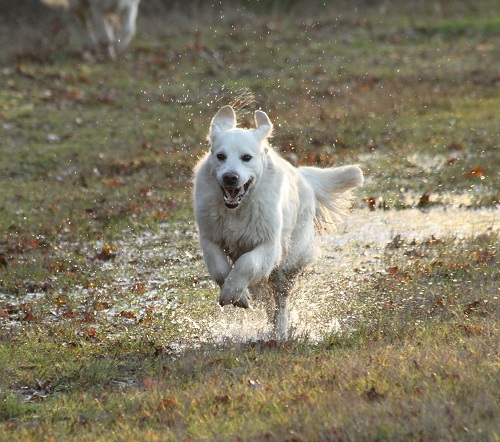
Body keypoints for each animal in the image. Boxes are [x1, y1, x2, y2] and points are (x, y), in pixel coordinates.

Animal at [194, 106, 364, 338]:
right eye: (220, 156)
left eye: (246, 157)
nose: (230, 177)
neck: (238, 209)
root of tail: (303, 177)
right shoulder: (210, 238)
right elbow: (219, 269)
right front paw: (237, 295)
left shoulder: (269, 245)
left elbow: (247, 263)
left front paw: (231, 292)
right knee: (267, 301)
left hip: (287, 265)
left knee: (280, 301)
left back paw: (281, 331)